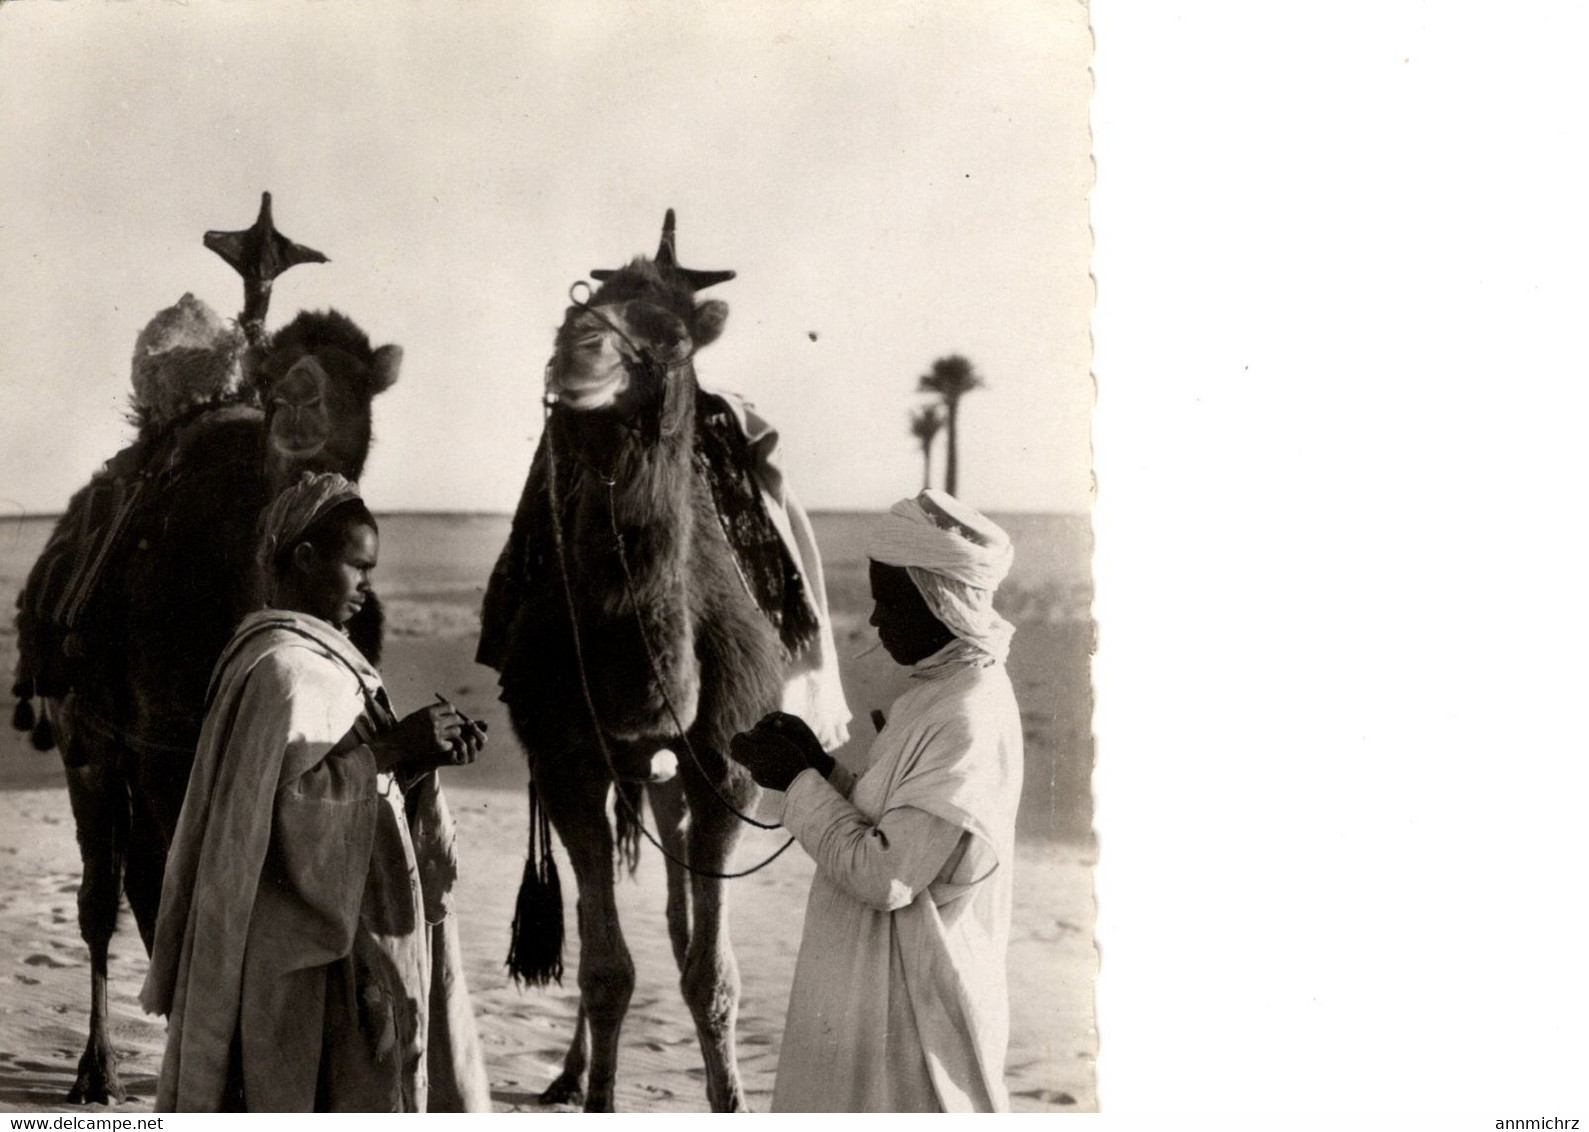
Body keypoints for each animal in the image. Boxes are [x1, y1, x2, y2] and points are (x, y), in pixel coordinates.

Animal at [10, 194, 403, 1106]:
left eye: (357, 380)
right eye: (282, 368)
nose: (299, 399)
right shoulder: (160, 742)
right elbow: (165, 895)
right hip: (87, 741)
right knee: (103, 894)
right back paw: (97, 1068)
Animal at [479, 208, 832, 1112]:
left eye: (671, 336)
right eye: (574, 312)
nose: (577, 359)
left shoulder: (727, 767)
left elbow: (710, 971)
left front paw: (730, 1096)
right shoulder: (565, 759)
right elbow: (606, 967)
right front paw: (597, 1094)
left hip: (678, 779)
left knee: (679, 926)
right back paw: (567, 1074)